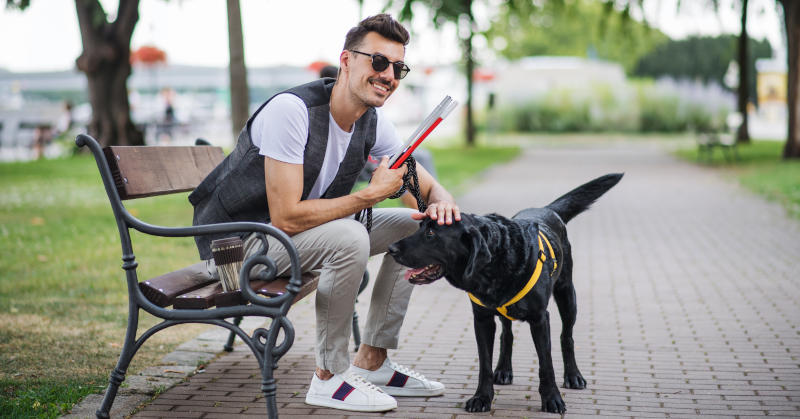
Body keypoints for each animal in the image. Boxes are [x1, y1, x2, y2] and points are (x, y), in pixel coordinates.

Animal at [390, 173, 624, 414]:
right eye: (420, 227)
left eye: (431, 233)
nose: (391, 249)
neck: (494, 263)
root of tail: (546, 209)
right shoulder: (482, 319)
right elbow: (485, 364)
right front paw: (482, 397)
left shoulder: (540, 319)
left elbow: (546, 363)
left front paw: (552, 398)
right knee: (507, 334)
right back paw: (503, 370)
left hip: (567, 295)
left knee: (566, 337)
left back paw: (574, 376)